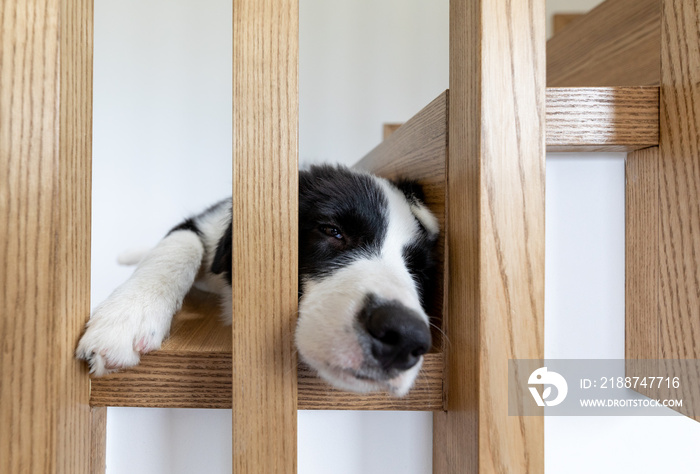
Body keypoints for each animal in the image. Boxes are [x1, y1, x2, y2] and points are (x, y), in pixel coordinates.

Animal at [76, 165, 438, 394]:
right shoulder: (209, 223)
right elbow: (182, 243)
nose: (404, 335)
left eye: (418, 270)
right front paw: (127, 317)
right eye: (332, 231)